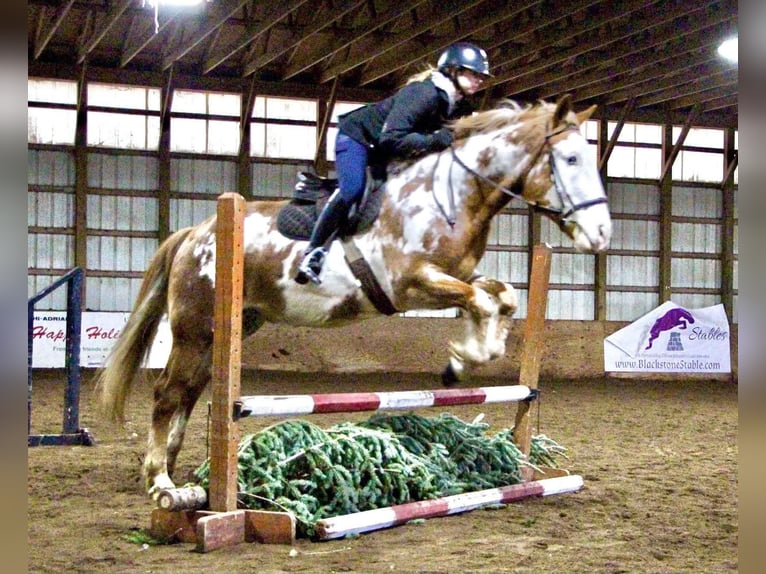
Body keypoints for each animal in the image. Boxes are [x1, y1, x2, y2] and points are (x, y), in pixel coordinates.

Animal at [96, 93, 616, 500]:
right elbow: (484, 302)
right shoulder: (410, 284)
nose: (602, 235)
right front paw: (467, 356)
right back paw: (161, 481)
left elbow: (500, 297)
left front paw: (462, 359)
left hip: (230, 326)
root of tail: (195, 233)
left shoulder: (452, 278)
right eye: (571, 160)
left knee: (190, 391)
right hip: (194, 328)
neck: (449, 195)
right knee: (168, 393)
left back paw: (170, 468)